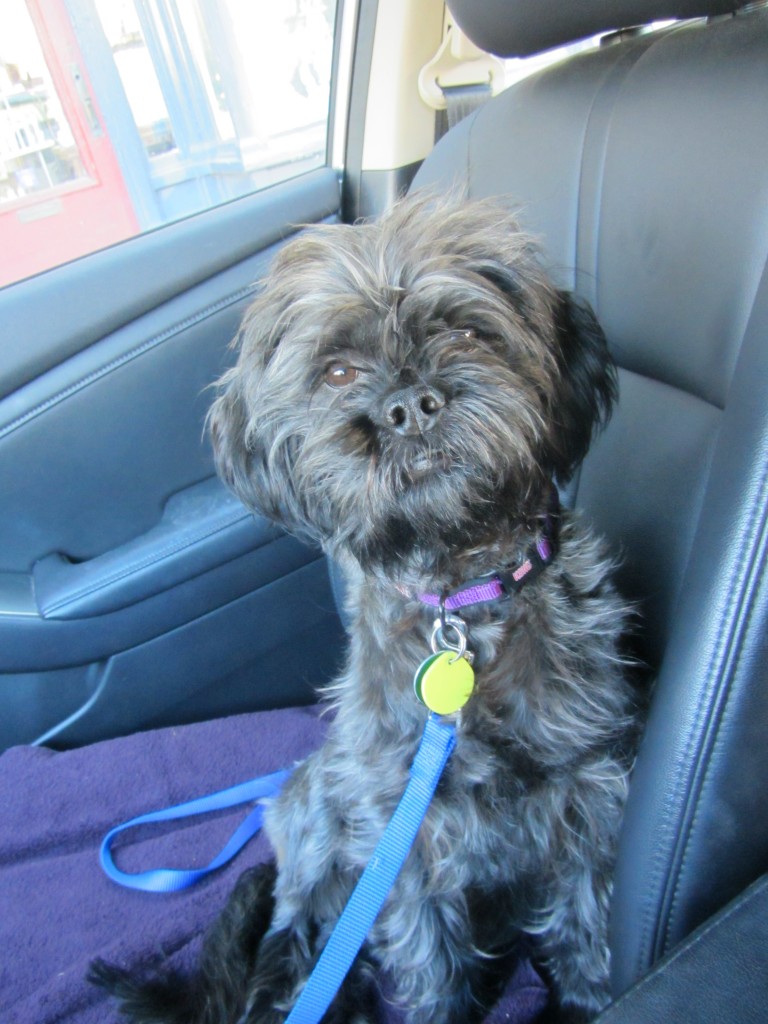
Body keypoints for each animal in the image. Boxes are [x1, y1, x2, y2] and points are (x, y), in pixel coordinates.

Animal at [93, 193, 638, 1024]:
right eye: (338, 371)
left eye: (466, 331)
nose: (409, 405)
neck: (461, 598)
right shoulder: (399, 832)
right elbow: (431, 962)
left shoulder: (582, 788)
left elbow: (582, 925)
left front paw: (583, 1003)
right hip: (318, 819)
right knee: (290, 946)